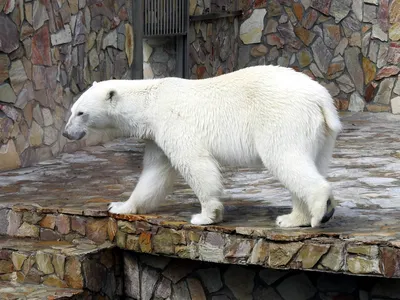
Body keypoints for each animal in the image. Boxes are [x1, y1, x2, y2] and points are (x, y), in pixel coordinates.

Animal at [64, 65, 342, 229]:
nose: (66, 133)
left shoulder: (172, 123)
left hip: (283, 118)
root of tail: (321, 99)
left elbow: (195, 164)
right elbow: (154, 174)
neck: (149, 102)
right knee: (310, 162)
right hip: (320, 133)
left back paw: (319, 213)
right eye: (71, 110)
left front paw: (206, 215)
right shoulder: (156, 136)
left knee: (284, 158)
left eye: (81, 112)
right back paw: (293, 219)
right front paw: (120, 206)